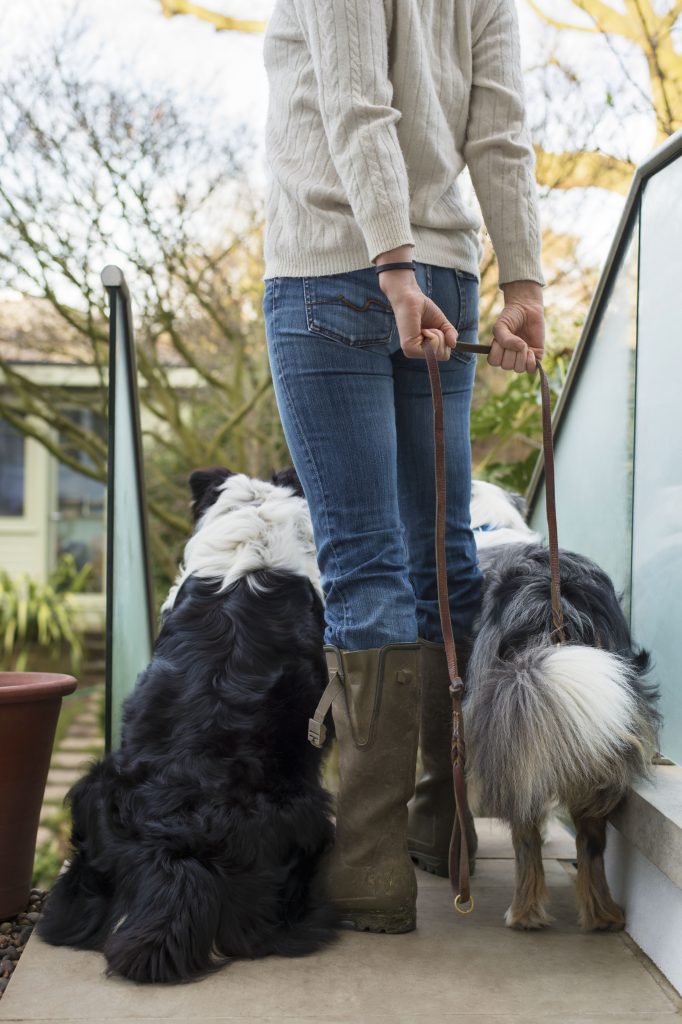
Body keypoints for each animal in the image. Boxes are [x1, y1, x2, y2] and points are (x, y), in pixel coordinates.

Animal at [464, 483, 655, 933]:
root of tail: (553, 597)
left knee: (525, 830)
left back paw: (525, 913)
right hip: (596, 727)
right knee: (592, 839)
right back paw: (602, 916)